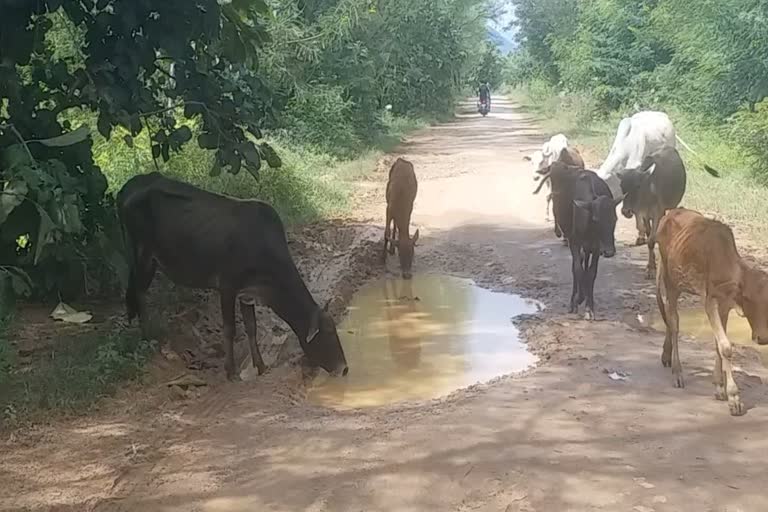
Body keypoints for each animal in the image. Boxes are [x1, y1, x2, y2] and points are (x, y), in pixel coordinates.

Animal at [117, 172, 348, 380]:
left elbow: (252, 328)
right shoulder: (227, 286)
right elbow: (230, 329)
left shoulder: (247, 293)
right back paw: (147, 335)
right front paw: (231, 372)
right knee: (139, 294)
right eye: (328, 333)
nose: (344, 368)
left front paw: (261, 366)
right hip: (143, 257)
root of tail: (127, 187)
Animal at [536, 162, 624, 318]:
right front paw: (578, 299)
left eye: (615, 219)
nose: (609, 252)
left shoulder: (596, 247)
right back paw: (574, 300)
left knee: (585, 264)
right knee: (577, 266)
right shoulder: (574, 242)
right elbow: (577, 269)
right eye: (596, 219)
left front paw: (589, 307)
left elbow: (591, 273)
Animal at [620, 148, 688, 280]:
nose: (626, 211)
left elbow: (652, 239)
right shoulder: (644, 215)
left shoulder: (658, 213)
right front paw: (651, 266)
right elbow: (649, 237)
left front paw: (651, 270)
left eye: (638, 186)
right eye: (621, 187)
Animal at [656, 208, 768, 416]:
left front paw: (719, 387)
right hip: (671, 281)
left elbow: (718, 345)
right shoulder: (710, 302)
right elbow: (726, 347)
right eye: (748, 298)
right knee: (674, 323)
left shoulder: (725, 306)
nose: (762, 338)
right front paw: (733, 397)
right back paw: (677, 372)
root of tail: (671, 212)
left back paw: (666, 355)